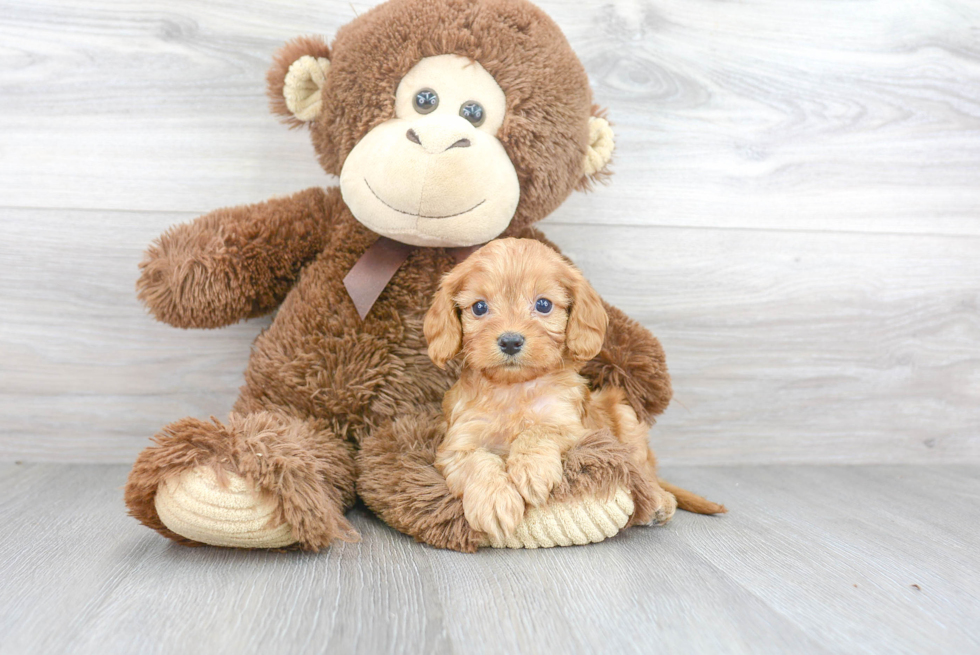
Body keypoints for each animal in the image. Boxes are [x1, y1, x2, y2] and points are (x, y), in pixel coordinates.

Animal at [424, 238, 724, 540]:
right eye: (479, 308)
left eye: (543, 304)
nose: (510, 341)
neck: (515, 388)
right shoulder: (457, 443)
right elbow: (477, 462)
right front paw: (494, 500)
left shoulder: (575, 429)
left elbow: (539, 430)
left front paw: (531, 470)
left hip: (626, 416)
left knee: (642, 471)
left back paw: (658, 501)